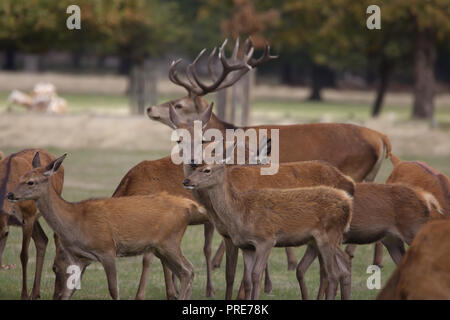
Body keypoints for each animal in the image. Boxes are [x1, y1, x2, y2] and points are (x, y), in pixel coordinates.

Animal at [0, 149, 64, 298]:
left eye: (6, 233)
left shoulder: (28, 217)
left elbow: (24, 255)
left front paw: (23, 295)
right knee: (43, 240)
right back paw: (35, 293)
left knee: (56, 237)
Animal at [6, 152, 200, 300]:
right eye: (20, 177)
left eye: (30, 182)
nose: (10, 194)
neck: (75, 220)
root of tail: (188, 206)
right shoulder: (80, 258)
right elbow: (70, 291)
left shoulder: (107, 249)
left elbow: (114, 290)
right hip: (161, 247)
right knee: (186, 270)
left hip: (169, 242)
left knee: (187, 270)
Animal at [182, 159, 352, 302]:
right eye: (195, 168)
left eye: (207, 170)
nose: (186, 181)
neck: (240, 212)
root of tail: (348, 203)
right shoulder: (246, 246)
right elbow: (247, 279)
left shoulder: (266, 239)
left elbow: (256, 275)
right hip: (323, 239)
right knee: (344, 264)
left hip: (328, 235)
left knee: (333, 273)